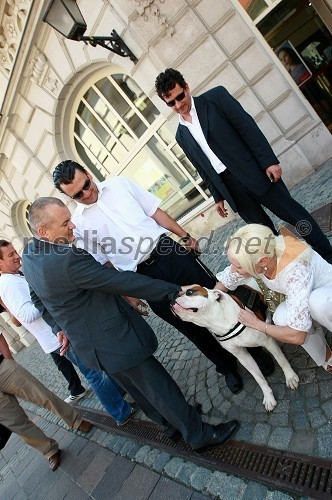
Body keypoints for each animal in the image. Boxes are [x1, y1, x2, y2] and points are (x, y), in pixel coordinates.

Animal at [172, 286, 300, 410]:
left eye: (189, 291)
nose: (172, 298)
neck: (219, 323)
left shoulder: (268, 341)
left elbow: (281, 361)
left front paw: (290, 377)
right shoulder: (243, 357)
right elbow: (258, 378)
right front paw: (268, 397)